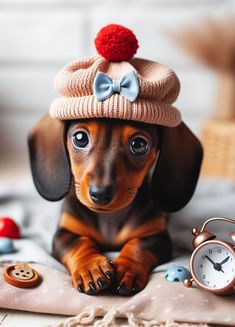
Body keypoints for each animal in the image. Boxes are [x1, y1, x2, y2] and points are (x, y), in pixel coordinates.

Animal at [28, 116, 202, 298]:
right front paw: (90, 268)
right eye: (80, 138)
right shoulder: (65, 233)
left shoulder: (158, 237)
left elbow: (137, 246)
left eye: (139, 144)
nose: (100, 193)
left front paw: (127, 269)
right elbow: (79, 243)